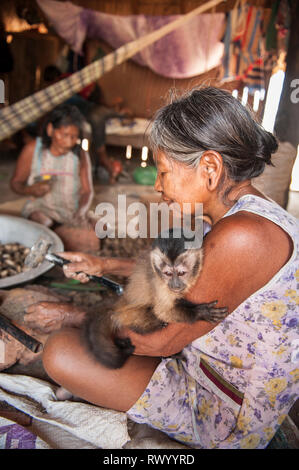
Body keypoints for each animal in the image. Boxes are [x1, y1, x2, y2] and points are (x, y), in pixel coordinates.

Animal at [82, 229, 227, 370]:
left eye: (181, 273)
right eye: (168, 274)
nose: (175, 284)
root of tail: (120, 304)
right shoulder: (161, 285)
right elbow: (162, 311)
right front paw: (200, 312)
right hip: (129, 315)